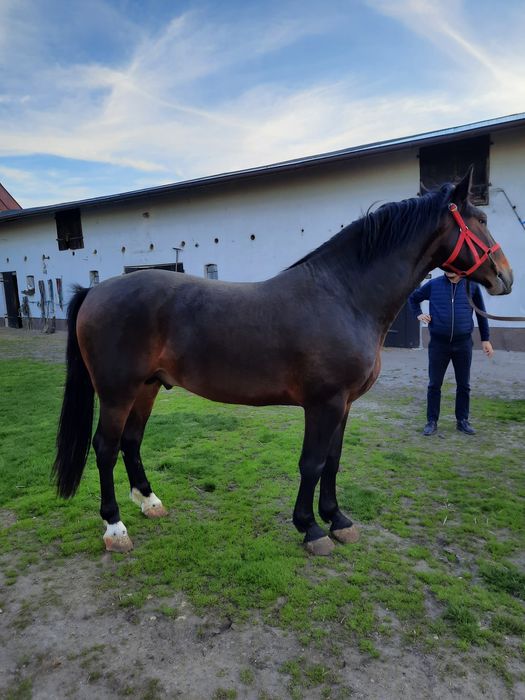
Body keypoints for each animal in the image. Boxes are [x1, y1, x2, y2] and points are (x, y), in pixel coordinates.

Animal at [52, 167, 512, 556]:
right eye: (480, 220)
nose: (505, 276)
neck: (344, 296)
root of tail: (95, 291)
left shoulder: (344, 404)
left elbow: (333, 462)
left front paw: (338, 520)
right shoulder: (324, 403)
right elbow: (312, 464)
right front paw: (310, 528)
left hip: (146, 388)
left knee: (131, 442)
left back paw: (149, 502)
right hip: (117, 392)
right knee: (106, 447)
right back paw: (115, 528)